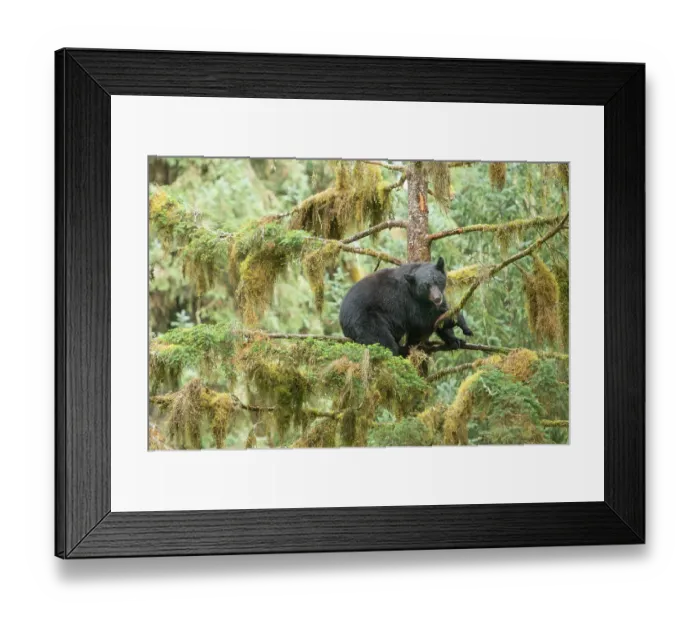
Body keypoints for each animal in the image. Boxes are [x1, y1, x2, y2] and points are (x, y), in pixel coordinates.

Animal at [339, 256, 473, 356]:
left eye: (437, 281)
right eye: (425, 286)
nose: (437, 298)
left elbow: (442, 314)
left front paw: (455, 339)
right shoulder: (406, 300)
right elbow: (422, 320)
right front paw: (458, 320)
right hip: (366, 321)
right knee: (382, 342)